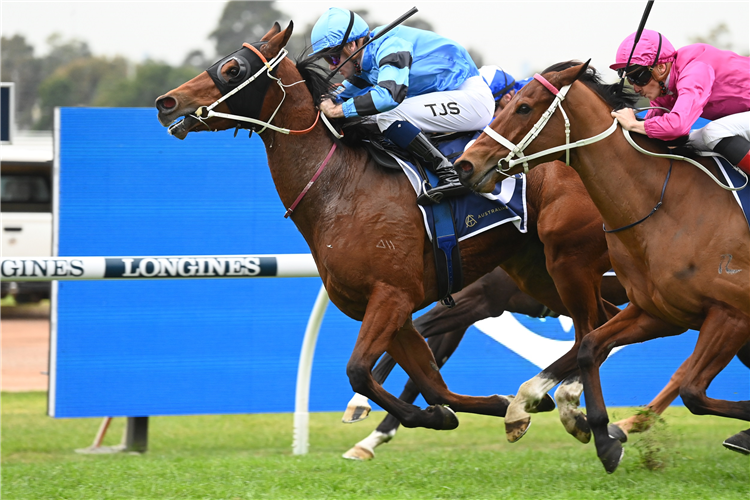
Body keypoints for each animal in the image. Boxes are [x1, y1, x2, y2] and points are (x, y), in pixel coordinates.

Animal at [458, 60, 750, 470]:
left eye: (524, 107)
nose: (465, 164)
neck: (666, 207)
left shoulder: (731, 314)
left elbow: (692, 391)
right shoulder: (658, 312)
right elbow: (590, 347)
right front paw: (603, 437)